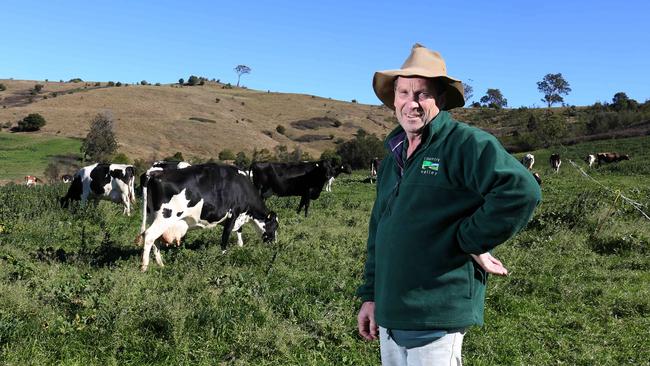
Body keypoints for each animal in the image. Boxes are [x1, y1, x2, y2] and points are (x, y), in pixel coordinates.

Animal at [139, 163, 276, 272]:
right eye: (275, 226)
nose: (274, 244)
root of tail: (153, 174)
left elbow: (238, 230)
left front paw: (240, 246)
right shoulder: (233, 215)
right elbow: (225, 237)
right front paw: (224, 256)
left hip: (152, 217)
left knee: (155, 239)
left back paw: (160, 264)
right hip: (164, 218)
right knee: (149, 236)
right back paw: (144, 267)